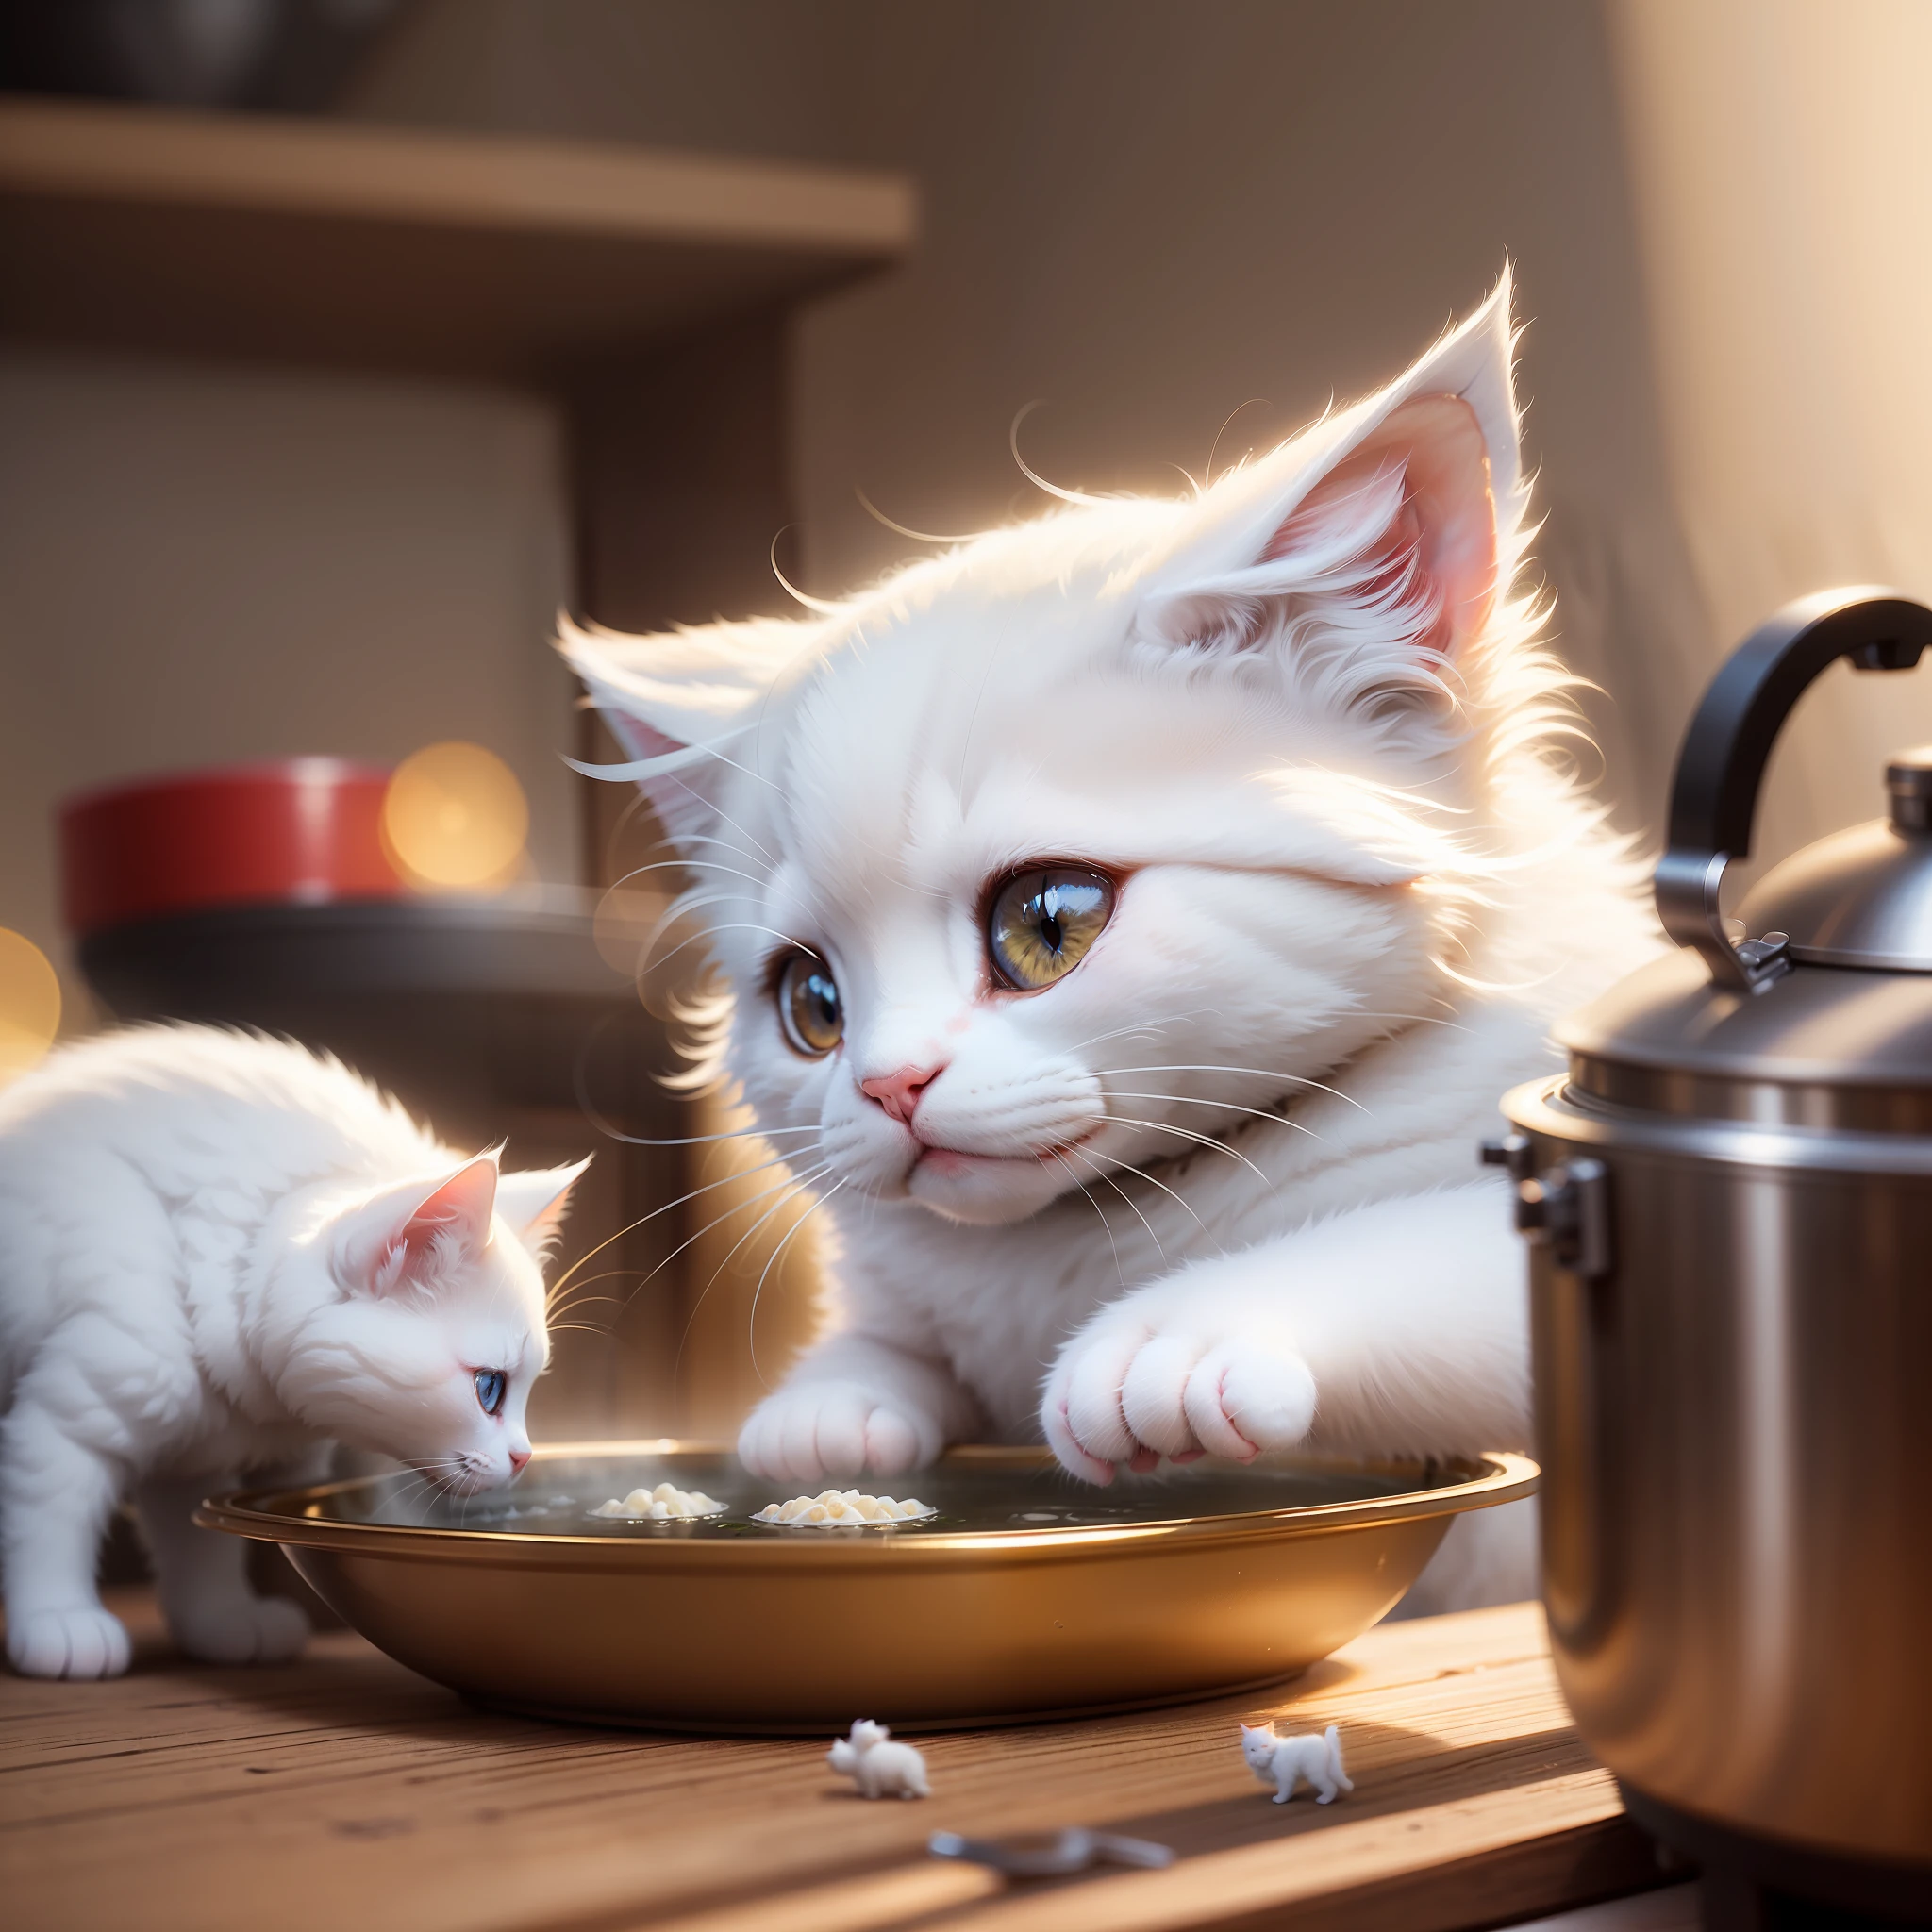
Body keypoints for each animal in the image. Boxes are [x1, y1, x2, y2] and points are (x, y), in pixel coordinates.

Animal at [0, 1027, 583, 1676]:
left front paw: (223, 1625)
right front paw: (59, 1622)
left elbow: (196, 1553)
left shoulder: (193, 1455)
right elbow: (48, 1522)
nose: (525, 1458)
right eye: (489, 1388)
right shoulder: (73, 1419)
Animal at [564, 264, 1661, 1607]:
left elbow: (1418, 1253)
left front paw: (1168, 1338)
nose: (887, 1084)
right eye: (810, 1004)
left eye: (1045, 924)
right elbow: (883, 1344)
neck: (1081, 1241)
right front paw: (826, 1410)